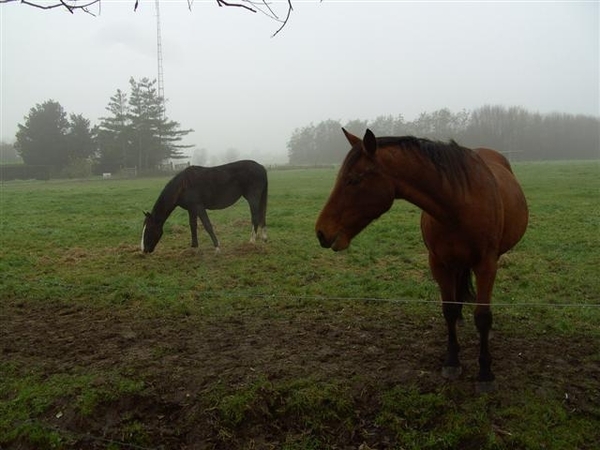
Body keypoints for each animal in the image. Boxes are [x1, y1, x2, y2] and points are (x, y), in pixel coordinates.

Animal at [316, 128, 528, 392]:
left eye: (354, 179)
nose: (321, 232)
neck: (459, 205)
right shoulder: (438, 263)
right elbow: (448, 310)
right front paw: (452, 360)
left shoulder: (487, 265)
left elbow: (482, 317)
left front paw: (485, 373)